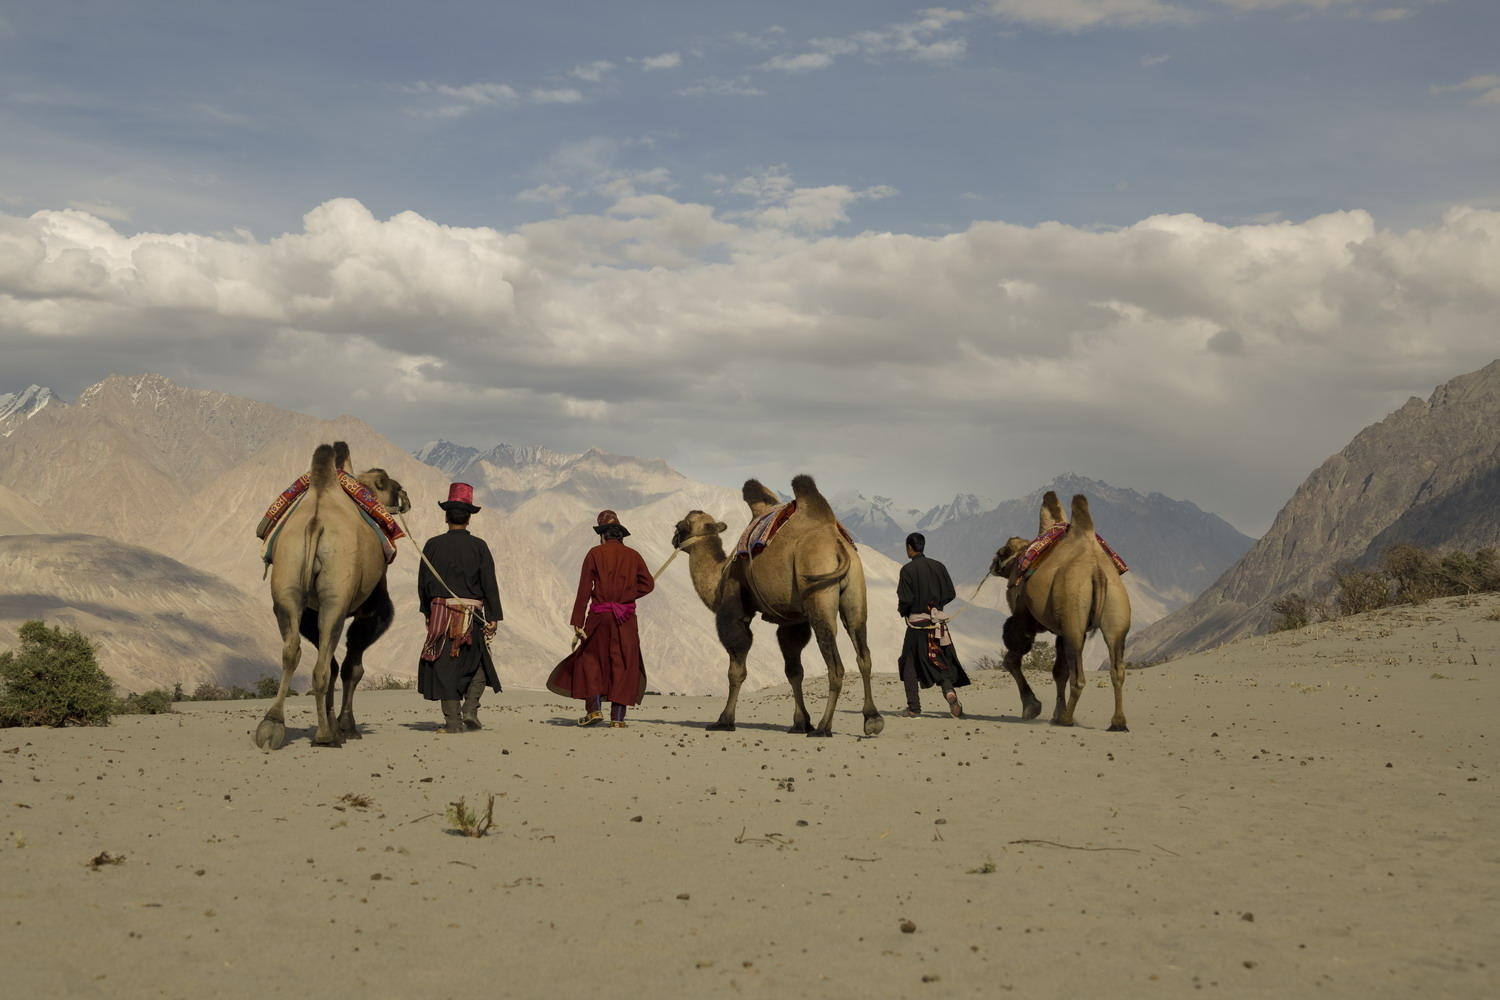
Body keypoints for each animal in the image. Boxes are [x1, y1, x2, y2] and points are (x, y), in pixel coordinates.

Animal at [255, 443, 411, 749]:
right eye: (388, 483)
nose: (403, 494)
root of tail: (315, 523)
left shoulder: (309, 613)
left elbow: (333, 662)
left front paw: (333, 723)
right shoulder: (371, 609)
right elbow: (351, 666)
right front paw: (346, 727)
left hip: (288, 584)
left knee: (292, 651)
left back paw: (273, 724)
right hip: (335, 596)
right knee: (324, 663)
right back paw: (325, 736)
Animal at [669, 473, 876, 740]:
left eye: (682, 526)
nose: (673, 538)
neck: (721, 574)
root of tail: (837, 545)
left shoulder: (735, 604)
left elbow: (737, 668)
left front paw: (724, 721)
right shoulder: (792, 620)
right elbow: (794, 670)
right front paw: (800, 723)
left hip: (818, 591)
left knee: (836, 665)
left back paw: (823, 727)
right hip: (855, 592)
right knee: (863, 652)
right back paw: (872, 720)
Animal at [990, 491, 1128, 731]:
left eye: (1003, 550)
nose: (993, 563)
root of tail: (1097, 571)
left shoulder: (1024, 614)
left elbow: (1012, 659)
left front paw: (1032, 706)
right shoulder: (1060, 630)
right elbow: (1058, 672)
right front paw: (1054, 712)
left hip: (1074, 619)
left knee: (1078, 676)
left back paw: (1067, 719)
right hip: (1115, 613)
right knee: (1117, 669)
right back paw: (1117, 722)